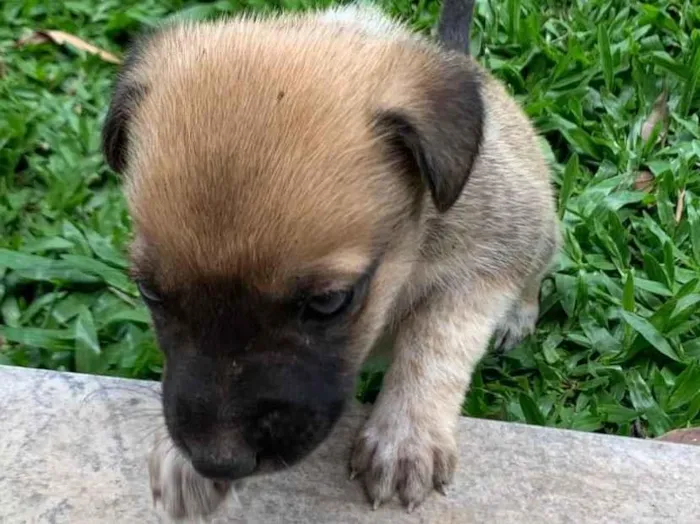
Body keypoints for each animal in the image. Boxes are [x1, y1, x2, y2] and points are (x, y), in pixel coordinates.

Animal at [104, 0, 560, 516]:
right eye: (149, 292)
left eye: (329, 302)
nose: (217, 461)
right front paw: (178, 461)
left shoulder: (483, 267)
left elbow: (435, 345)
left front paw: (404, 437)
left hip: (542, 232)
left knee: (533, 277)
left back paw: (517, 317)